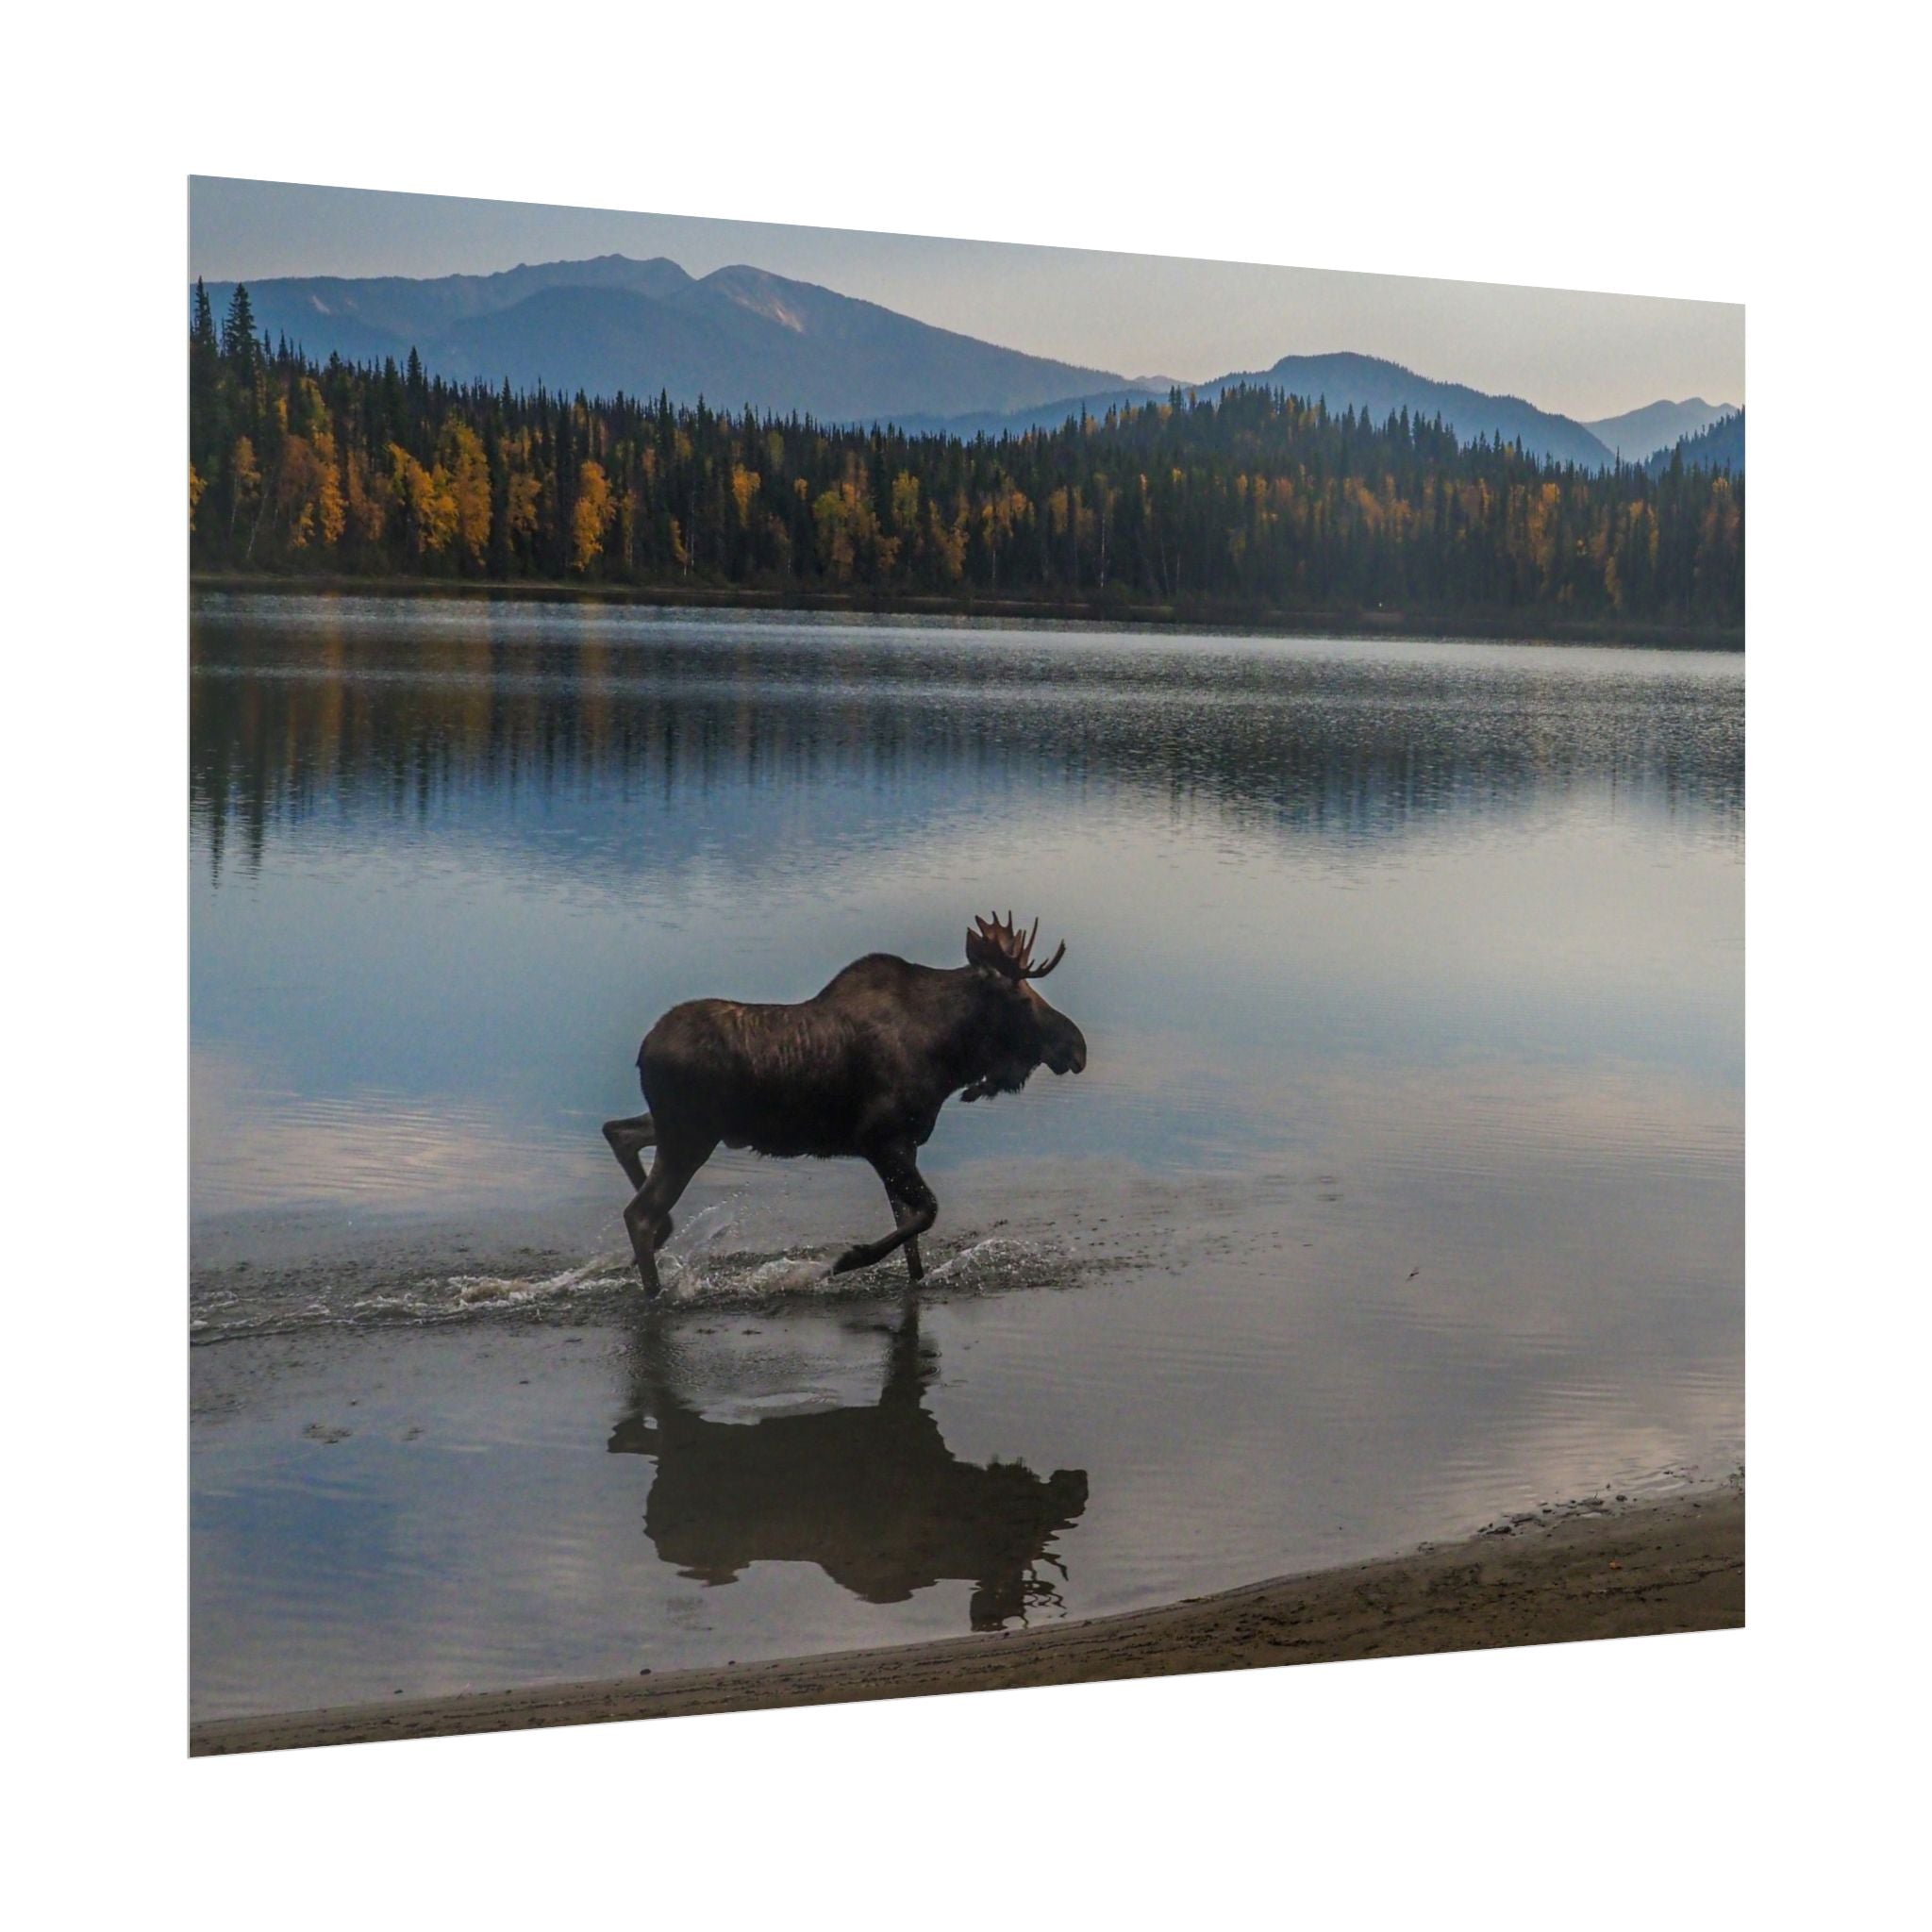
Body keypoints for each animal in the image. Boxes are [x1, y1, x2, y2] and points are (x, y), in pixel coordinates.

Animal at [601, 913, 1087, 1294]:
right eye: (1021, 998)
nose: (1077, 1047)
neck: (948, 1056)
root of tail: (643, 1051)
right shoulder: (880, 1140)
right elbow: (926, 1213)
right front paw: (844, 1260)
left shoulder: (904, 1146)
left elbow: (911, 1236)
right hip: (690, 1136)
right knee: (638, 1212)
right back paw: (655, 1288)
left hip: (682, 1128)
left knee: (619, 1133)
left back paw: (662, 1236)